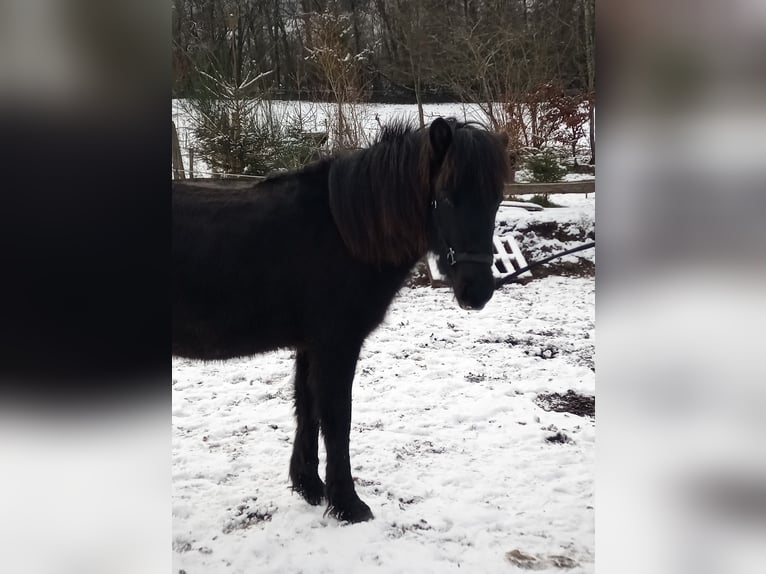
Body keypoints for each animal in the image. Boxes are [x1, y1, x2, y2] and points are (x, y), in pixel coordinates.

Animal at [173, 119, 510, 524]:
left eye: (496, 200)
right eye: (445, 197)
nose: (477, 292)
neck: (344, 232)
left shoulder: (310, 346)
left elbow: (308, 409)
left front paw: (309, 486)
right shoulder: (337, 345)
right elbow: (337, 418)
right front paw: (348, 503)